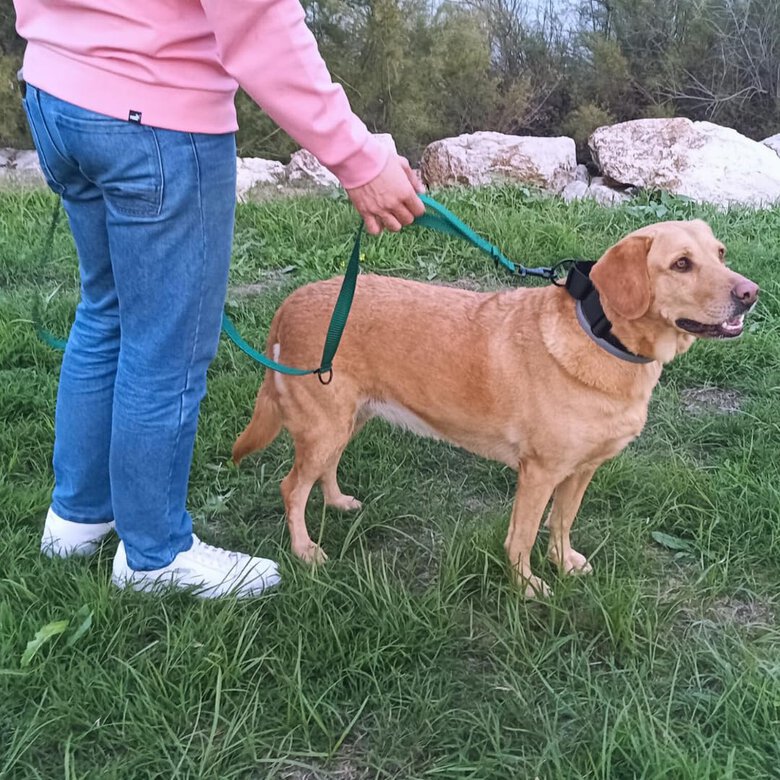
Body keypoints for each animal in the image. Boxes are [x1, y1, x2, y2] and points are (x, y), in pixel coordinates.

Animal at [235, 219, 760, 596]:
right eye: (681, 264)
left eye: (720, 254)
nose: (751, 294)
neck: (602, 338)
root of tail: (290, 302)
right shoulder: (540, 473)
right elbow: (522, 537)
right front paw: (527, 586)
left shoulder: (581, 471)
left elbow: (562, 523)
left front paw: (564, 563)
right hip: (324, 425)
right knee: (291, 488)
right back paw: (305, 550)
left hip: (346, 421)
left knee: (322, 472)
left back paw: (338, 502)